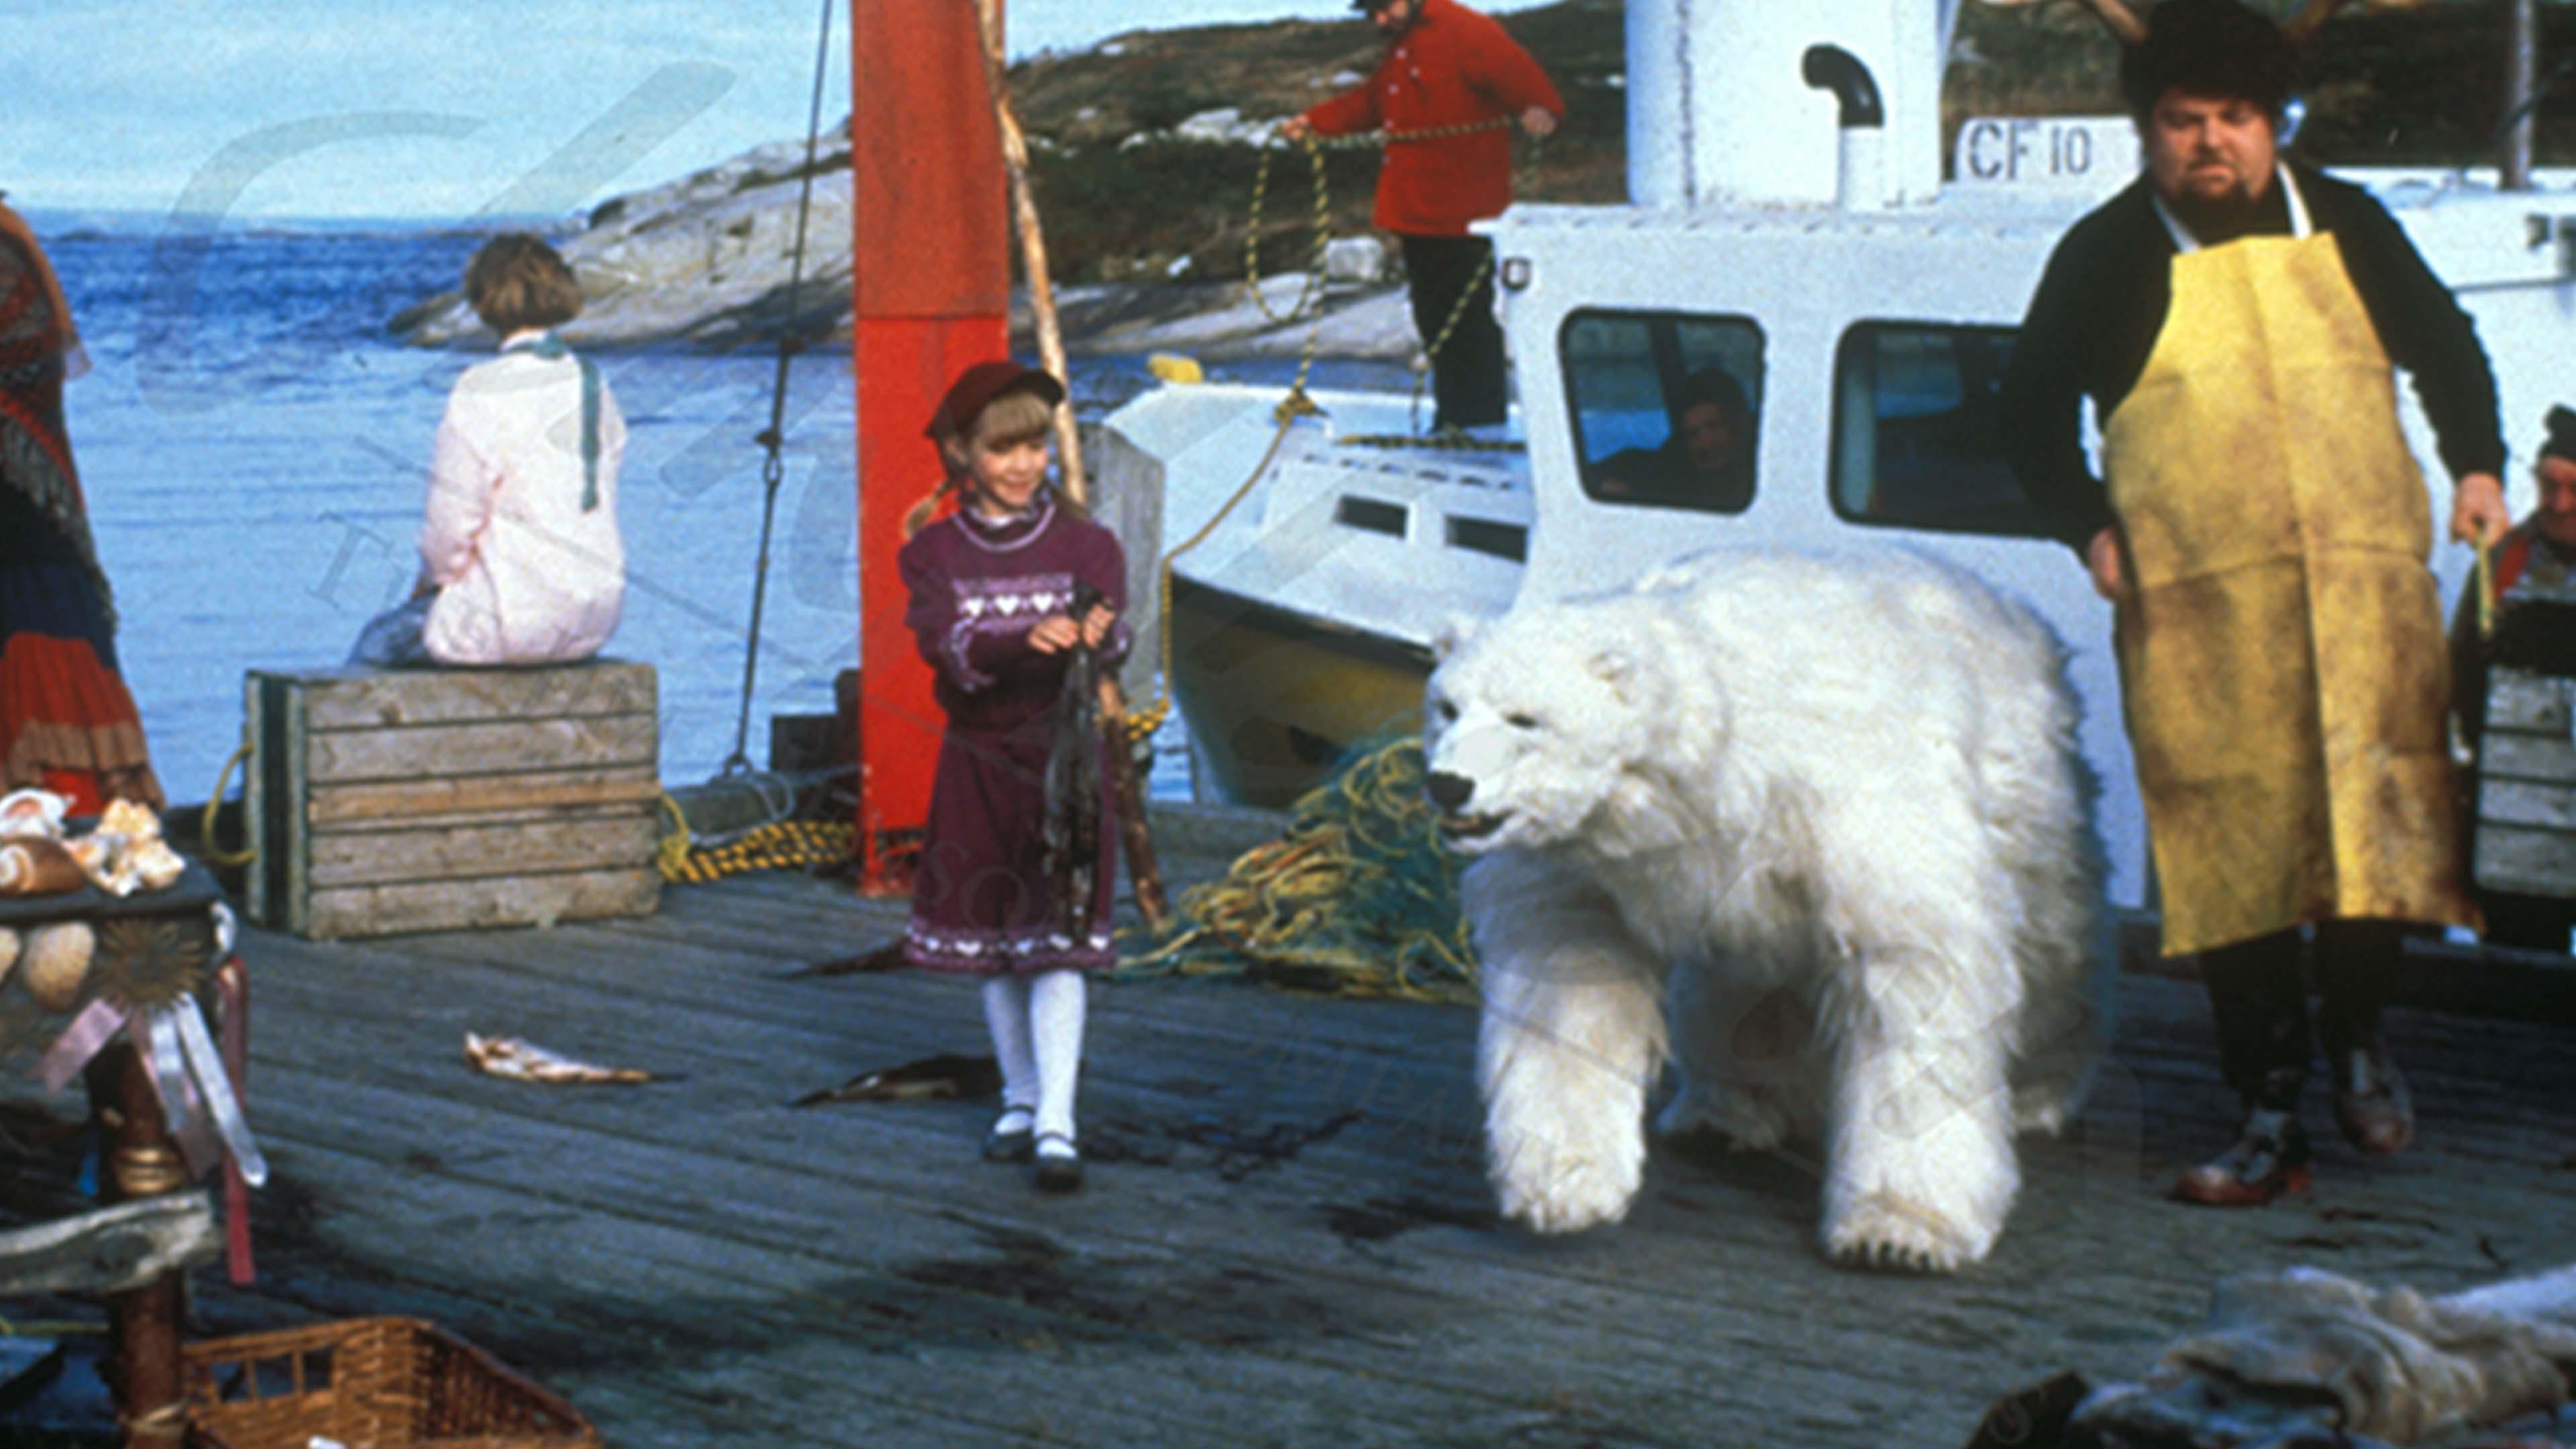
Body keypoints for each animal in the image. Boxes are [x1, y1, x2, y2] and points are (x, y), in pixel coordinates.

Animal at [1422, 546, 2102, 1268]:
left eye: (1524, 718)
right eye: (1447, 707)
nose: (1448, 784)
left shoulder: (1849, 809)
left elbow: (1913, 973)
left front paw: (1898, 1229)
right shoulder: (1585, 865)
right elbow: (1571, 985)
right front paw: (1564, 1183)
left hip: (2027, 801)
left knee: (2054, 948)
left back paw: (2039, 1093)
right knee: (1736, 999)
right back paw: (1726, 1113)